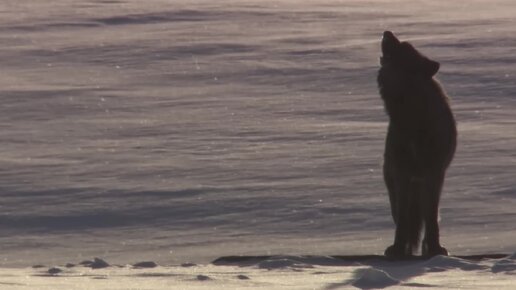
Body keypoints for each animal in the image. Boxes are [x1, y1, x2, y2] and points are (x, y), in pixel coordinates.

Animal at [376, 31, 458, 258]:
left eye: (404, 46)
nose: (386, 32)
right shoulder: (402, 174)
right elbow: (403, 220)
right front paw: (397, 249)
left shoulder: (434, 174)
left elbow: (431, 219)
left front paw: (436, 250)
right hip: (395, 183)